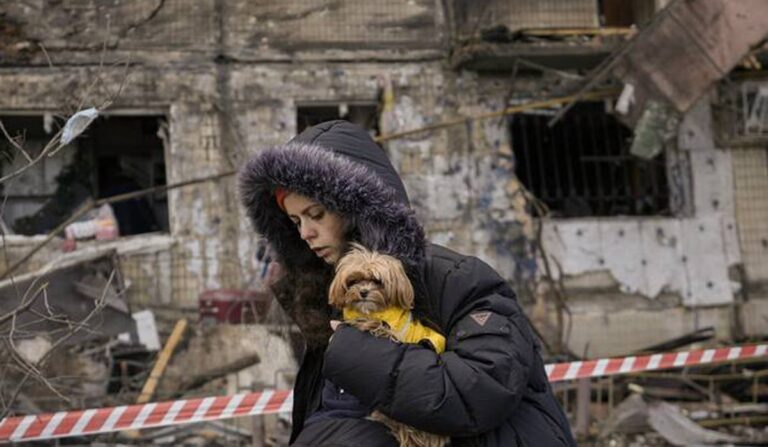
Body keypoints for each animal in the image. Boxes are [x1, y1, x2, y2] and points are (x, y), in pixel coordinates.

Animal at [328, 245, 448, 447]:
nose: (363, 292)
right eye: (354, 280)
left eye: (378, 281)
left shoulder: (390, 330)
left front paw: (362, 323)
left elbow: (378, 327)